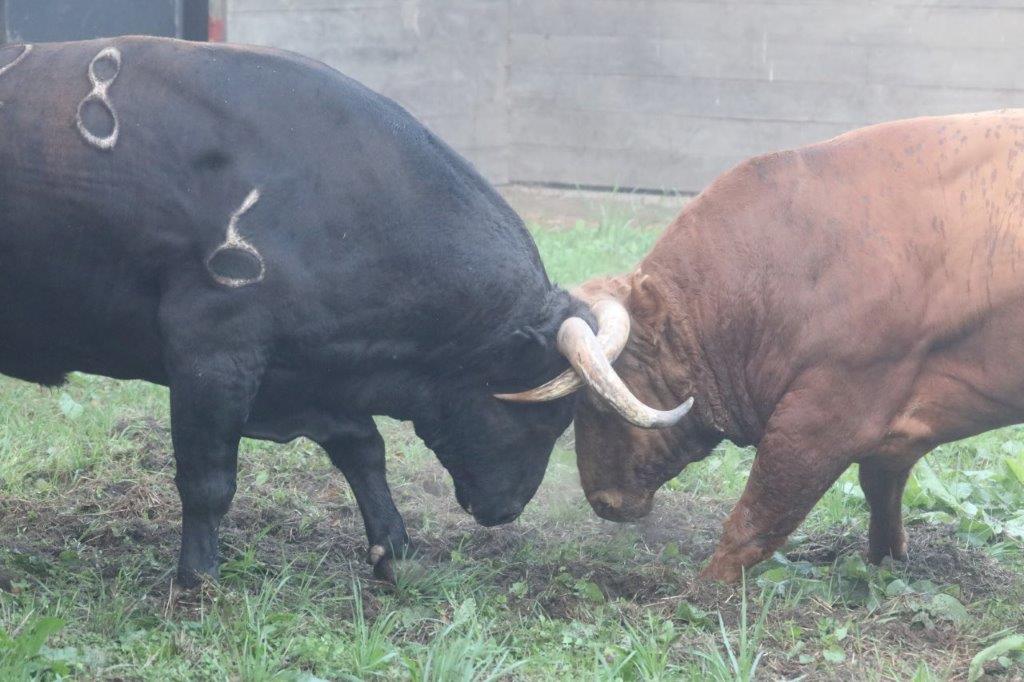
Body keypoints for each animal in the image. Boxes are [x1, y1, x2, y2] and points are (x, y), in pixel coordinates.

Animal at [0, 36, 685, 587]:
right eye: (551, 416)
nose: (507, 511)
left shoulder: (304, 377)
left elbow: (362, 447)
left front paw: (393, 548)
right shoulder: (212, 353)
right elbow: (208, 480)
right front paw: (196, 580)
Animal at [506, 110, 1024, 582]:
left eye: (593, 404)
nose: (601, 501)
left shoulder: (822, 418)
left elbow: (755, 519)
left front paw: (700, 593)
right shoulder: (891, 435)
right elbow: (880, 492)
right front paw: (885, 563)